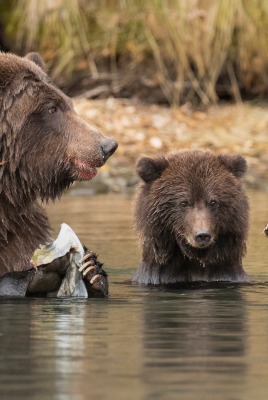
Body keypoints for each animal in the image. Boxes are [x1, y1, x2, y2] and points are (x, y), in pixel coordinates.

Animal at [0, 51, 117, 296]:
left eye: (68, 103)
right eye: (52, 108)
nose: (107, 145)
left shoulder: (20, 227)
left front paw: (92, 269)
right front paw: (42, 271)